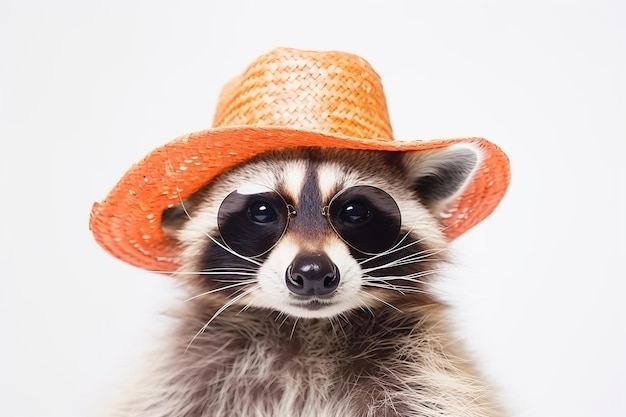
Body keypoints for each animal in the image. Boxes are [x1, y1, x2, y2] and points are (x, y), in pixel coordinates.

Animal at [102, 145, 502, 414]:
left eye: (354, 211)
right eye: (262, 211)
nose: (313, 273)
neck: (306, 329)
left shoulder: (422, 370)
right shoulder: (184, 377)